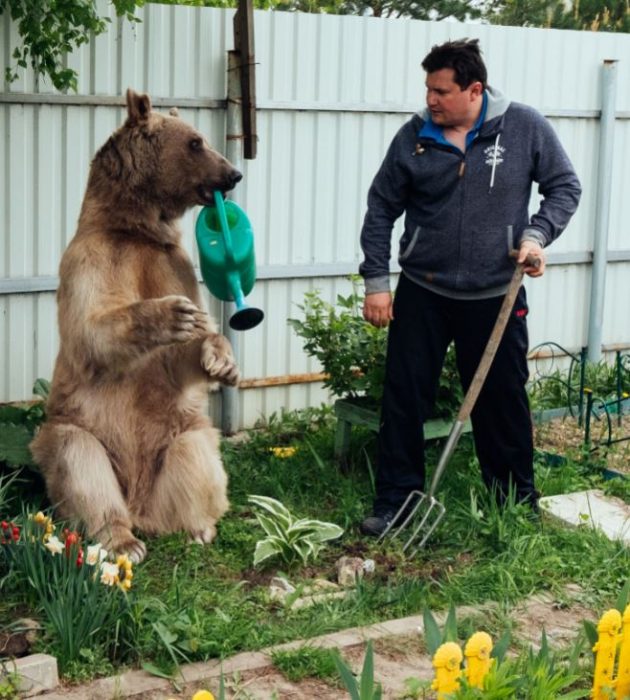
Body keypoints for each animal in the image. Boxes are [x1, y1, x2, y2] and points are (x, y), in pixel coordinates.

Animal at [29, 87, 243, 564]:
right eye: (196, 142)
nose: (233, 174)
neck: (137, 228)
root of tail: (141, 504)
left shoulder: (173, 263)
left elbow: (182, 357)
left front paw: (220, 358)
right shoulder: (92, 258)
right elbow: (89, 329)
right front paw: (171, 314)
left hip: (177, 431)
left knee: (197, 454)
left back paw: (198, 527)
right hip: (78, 432)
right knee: (79, 461)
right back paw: (121, 539)